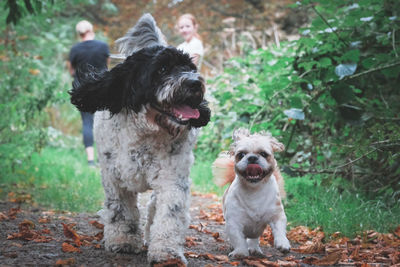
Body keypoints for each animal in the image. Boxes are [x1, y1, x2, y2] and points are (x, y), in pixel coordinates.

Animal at [70, 14, 211, 266]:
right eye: (162, 69)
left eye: (190, 67)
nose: (195, 82)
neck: (146, 133)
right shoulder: (115, 179)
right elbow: (121, 212)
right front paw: (123, 241)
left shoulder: (172, 180)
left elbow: (168, 215)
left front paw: (166, 252)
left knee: (154, 207)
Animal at [212, 130, 290, 260]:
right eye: (241, 154)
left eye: (263, 154)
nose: (252, 157)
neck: (254, 190)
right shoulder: (234, 222)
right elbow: (238, 238)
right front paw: (240, 252)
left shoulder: (276, 214)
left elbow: (279, 229)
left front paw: (283, 244)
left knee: (254, 238)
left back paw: (254, 249)